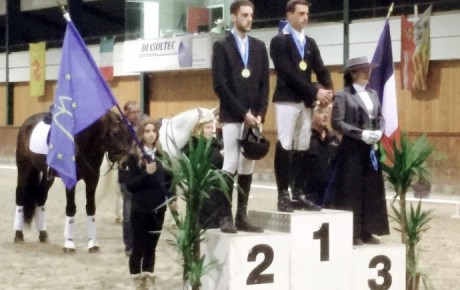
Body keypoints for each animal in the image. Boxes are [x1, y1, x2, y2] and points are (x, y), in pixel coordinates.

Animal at [13, 110, 131, 251]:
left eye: (127, 134)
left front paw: (93, 243)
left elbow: (91, 208)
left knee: (41, 198)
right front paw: (69, 243)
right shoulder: (71, 181)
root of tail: (27, 122)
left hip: (47, 176)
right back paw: (18, 235)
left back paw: (43, 235)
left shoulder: (92, 179)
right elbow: (71, 208)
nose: (125, 162)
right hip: (24, 168)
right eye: (114, 133)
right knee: (20, 196)